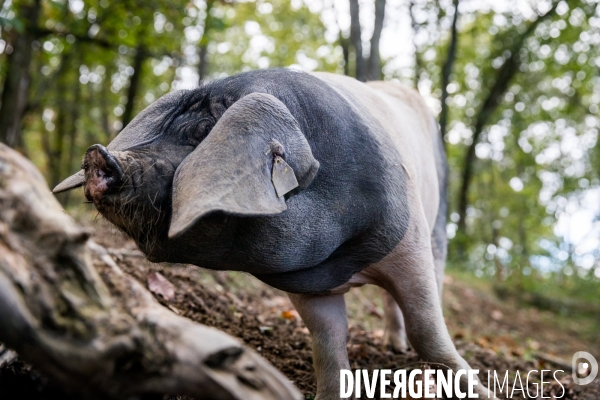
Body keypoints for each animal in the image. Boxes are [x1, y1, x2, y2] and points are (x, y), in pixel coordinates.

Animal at [54, 69, 494, 400]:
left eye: (202, 134)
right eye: (166, 129)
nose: (99, 156)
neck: (346, 261)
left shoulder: (410, 239)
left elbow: (428, 331)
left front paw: (483, 393)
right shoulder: (308, 283)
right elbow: (327, 342)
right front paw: (328, 395)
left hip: (437, 223)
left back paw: (397, 348)